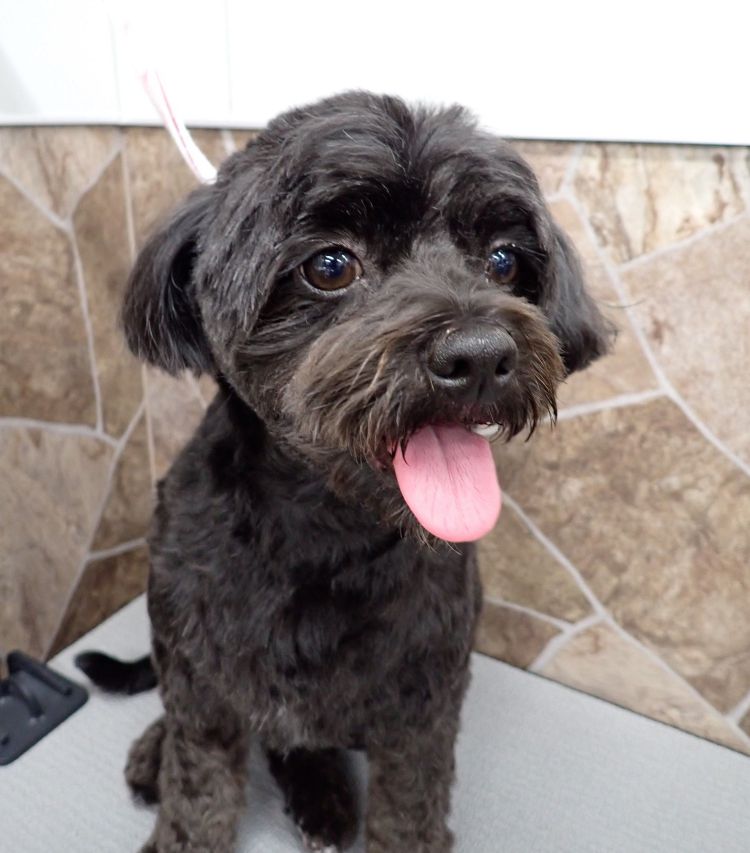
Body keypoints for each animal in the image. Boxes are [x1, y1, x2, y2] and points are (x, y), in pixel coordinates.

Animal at [76, 91, 611, 853]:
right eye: (330, 266)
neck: (324, 529)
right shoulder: (198, 672)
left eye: (504, 260)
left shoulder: (426, 692)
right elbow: (198, 781)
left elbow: (410, 802)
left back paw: (320, 795)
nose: (481, 353)